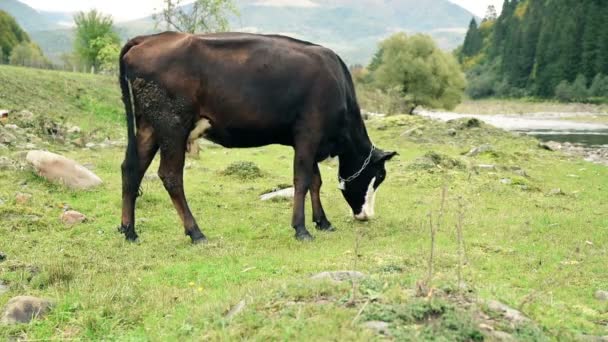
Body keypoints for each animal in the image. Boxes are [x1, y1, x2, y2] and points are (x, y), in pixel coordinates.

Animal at [117, 30, 400, 242]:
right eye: (379, 176)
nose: (366, 215)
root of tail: (148, 39)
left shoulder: (308, 140)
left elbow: (315, 181)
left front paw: (322, 222)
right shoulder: (309, 133)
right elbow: (302, 180)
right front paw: (301, 229)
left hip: (149, 126)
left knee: (132, 168)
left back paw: (129, 231)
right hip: (173, 125)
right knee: (171, 176)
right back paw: (195, 232)